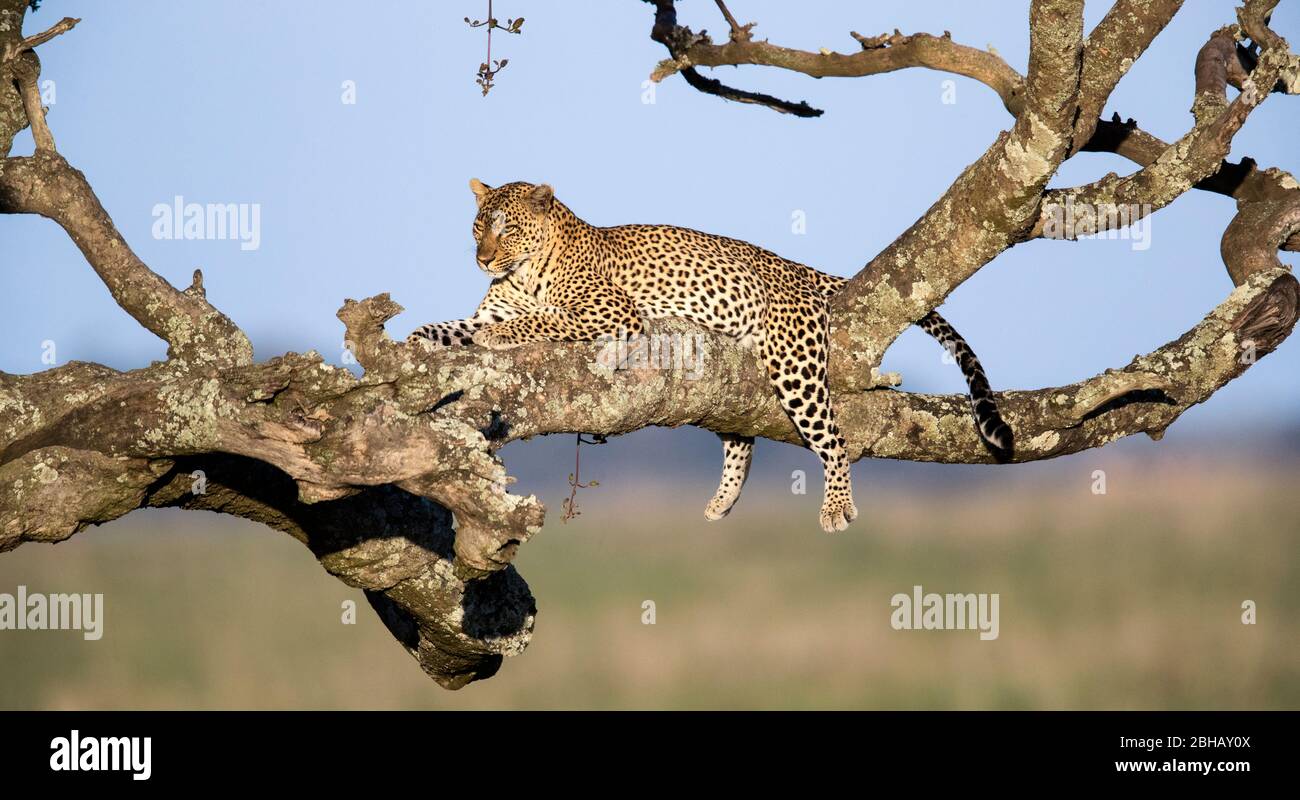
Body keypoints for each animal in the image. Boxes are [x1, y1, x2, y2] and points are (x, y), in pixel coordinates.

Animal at [408, 179, 1013, 532]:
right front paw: (415, 344)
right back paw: (723, 501)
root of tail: (793, 268)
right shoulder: (485, 311)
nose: (482, 258)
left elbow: (539, 319)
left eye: (506, 228)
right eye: (477, 225)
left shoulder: (611, 311)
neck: (526, 270)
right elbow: (448, 328)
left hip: (794, 365)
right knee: (740, 437)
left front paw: (501, 337)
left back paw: (836, 506)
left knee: (832, 437)